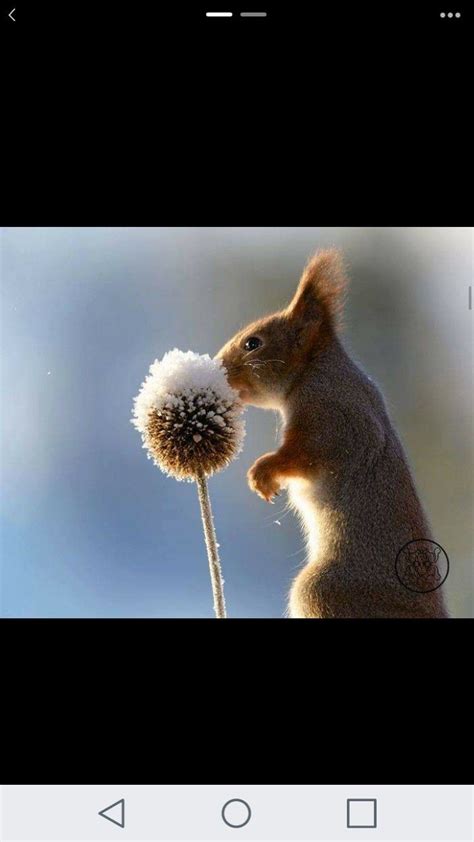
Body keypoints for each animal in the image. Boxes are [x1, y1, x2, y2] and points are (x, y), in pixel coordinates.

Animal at [217, 249, 450, 616]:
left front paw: (263, 473)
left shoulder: (332, 417)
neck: (315, 369)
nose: (217, 365)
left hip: (321, 591)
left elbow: (309, 453)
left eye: (253, 343)